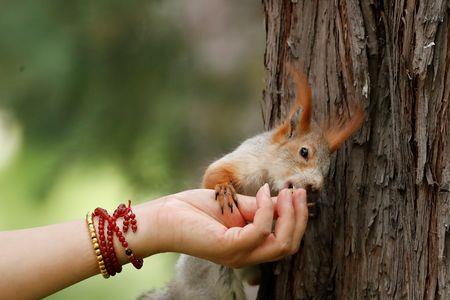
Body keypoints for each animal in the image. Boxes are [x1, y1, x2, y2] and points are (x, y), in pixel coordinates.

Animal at [141, 65, 366, 300]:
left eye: (326, 170)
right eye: (304, 152)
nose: (316, 186)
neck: (269, 180)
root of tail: (180, 284)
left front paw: (310, 206)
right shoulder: (246, 160)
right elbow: (213, 174)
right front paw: (224, 190)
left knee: (252, 279)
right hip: (213, 282)